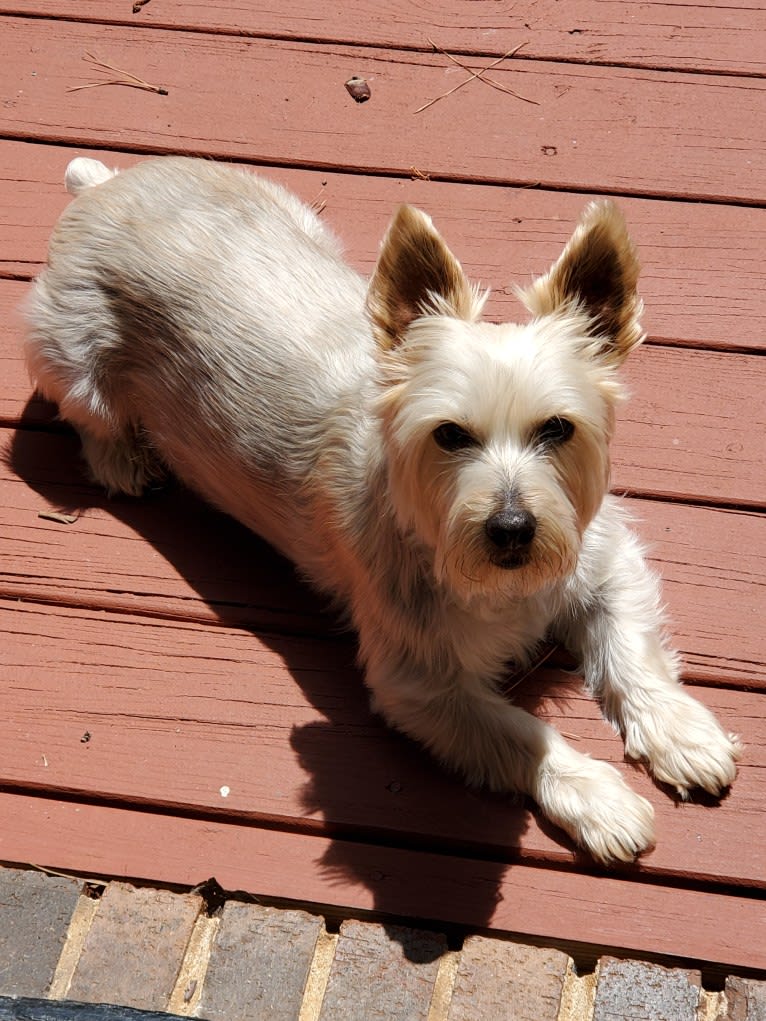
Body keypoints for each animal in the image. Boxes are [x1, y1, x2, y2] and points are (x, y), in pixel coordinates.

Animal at [25, 157, 743, 861]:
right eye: (449, 434)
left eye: (558, 428)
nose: (512, 529)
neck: (499, 585)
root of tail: (102, 186)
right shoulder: (421, 684)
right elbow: (520, 731)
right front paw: (601, 799)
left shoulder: (607, 559)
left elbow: (633, 653)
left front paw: (684, 736)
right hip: (67, 353)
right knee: (86, 415)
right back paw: (125, 460)